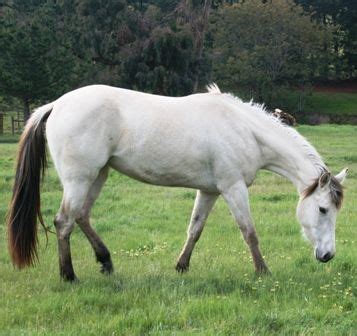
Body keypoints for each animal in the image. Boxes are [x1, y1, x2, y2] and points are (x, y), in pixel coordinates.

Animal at [6, 84, 346, 280]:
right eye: (323, 210)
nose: (328, 255)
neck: (244, 130)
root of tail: (56, 104)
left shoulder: (209, 191)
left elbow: (195, 229)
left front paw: (181, 266)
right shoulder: (233, 187)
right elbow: (249, 232)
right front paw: (263, 272)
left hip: (98, 175)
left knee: (82, 216)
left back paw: (106, 262)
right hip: (81, 178)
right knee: (64, 221)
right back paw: (69, 275)